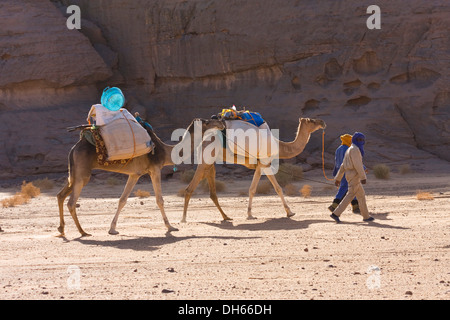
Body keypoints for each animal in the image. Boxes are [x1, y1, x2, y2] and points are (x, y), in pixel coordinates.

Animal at [55, 117, 225, 238]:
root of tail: (74, 148)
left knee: (60, 195)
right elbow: (159, 200)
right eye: (207, 121)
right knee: (71, 202)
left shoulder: (134, 174)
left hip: (75, 173)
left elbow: (122, 200)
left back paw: (62, 229)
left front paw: (112, 229)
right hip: (83, 173)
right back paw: (82, 232)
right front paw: (170, 227)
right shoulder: (155, 169)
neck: (165, 151)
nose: (221, 122)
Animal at [181, 117, 326, 222]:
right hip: (205, 160)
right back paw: (183, 219)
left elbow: (267, 188)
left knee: (212, 192)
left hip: (210, 163)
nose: (322, 122)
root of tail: (203, 141)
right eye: (312, 120)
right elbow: (270, 188)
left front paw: (288, 212)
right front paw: (288, 212)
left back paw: (226, 217)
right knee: (190, 188)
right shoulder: (264, 164)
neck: (280, 146)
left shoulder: (262, 165)